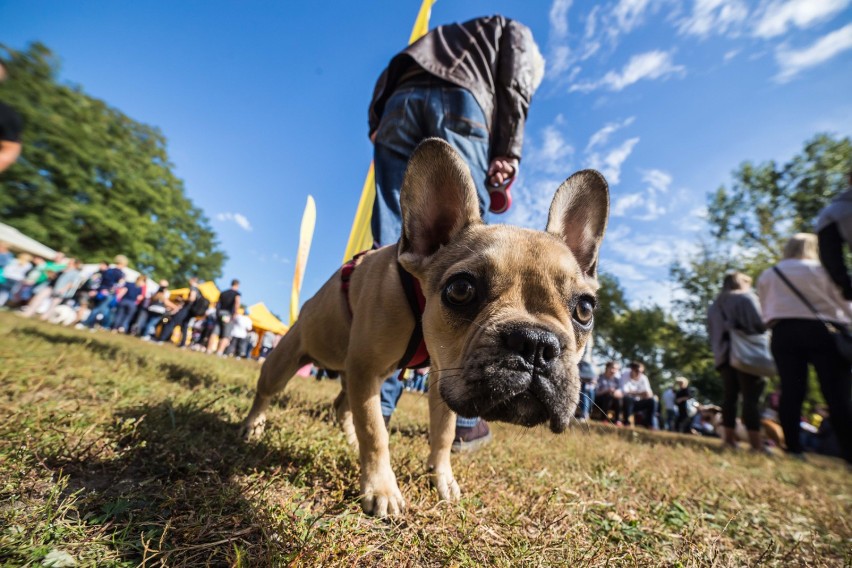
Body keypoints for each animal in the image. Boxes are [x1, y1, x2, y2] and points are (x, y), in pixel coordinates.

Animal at [243, 136, 608, 516]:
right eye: (460, 289)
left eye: (585, 309)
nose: (536, 343)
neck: (417, 296)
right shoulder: (367, 368)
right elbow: (375, 431)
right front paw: (382, 489)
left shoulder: (440, 374)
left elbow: (442, 432)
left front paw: (442, 478)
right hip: (291, 358)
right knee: (269, 391)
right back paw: (253, 426)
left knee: (344, 406)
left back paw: (348, 439)